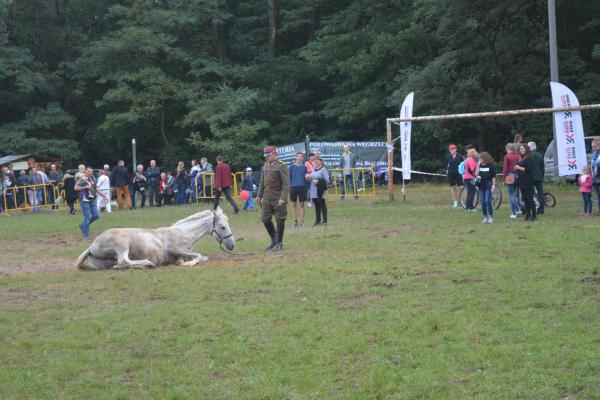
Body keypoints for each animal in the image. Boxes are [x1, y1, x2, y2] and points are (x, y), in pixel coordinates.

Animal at [75, 208, 234, 270]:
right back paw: (148, 263)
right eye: (222, 227)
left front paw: (183, 262)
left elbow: (203, 257)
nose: (232, 244)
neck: (184, 232)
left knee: (118, 265)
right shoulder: (176, 249)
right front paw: (186, 263)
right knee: (123, 261)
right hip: (122, 243)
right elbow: (199, 256)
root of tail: (92, 246)